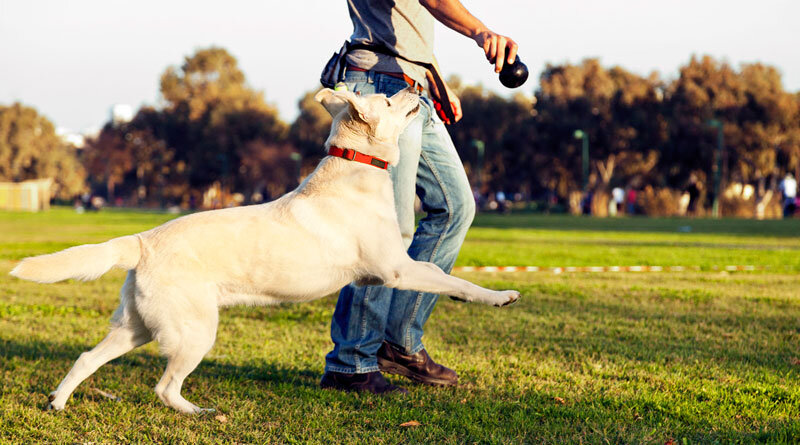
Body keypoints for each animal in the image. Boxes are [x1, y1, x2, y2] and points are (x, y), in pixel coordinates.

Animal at [9, 86, 520, 412]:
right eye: (390, 99)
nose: (417, 86)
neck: (356, 167)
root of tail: (142, 240)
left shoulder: (391, 271)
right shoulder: (397, 269)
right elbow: (452, 279)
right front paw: (499, 296)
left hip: (136, 327)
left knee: (86, 358)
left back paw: (58, 402)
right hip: (194, 331)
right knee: (164, 387)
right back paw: (198, 412)